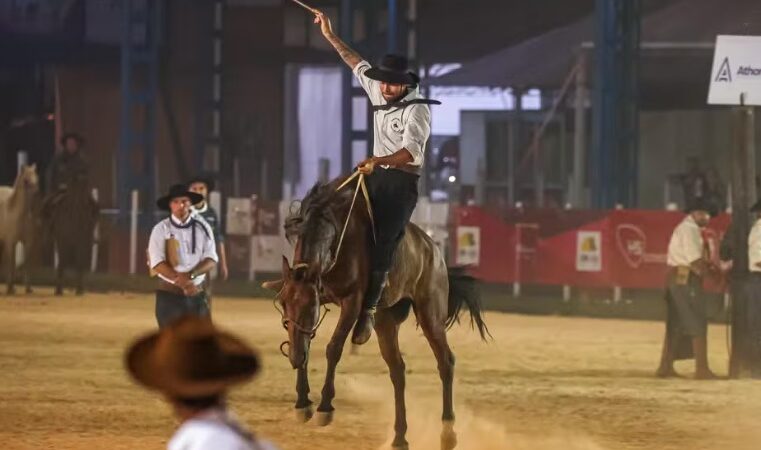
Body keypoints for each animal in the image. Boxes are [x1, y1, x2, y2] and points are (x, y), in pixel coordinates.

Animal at [0, 165, 39, 296]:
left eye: (36, 177)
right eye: (25, 180)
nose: (36, 192)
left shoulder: (28, 243)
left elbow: (26, 264)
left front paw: (28, 288)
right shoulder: (11, 242)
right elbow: (11, 264)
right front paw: (10, 289)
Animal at [264, 173, 490, 450]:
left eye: (310, 305)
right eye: (284, 304)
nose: (293, 358)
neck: (335, 236)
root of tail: (434, 251)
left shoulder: (352, 302)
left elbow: (333, 348)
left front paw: (325, 407)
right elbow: (306, 343)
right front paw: (302, 403)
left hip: (431, 315)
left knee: (446, 362)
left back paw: (447, 434)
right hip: (386, 320)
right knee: (398, 371)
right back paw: (400, 437)